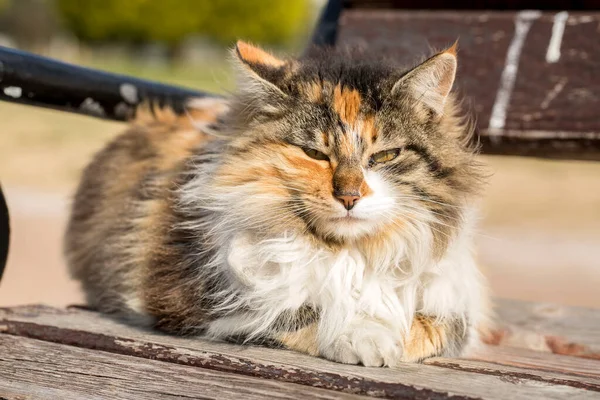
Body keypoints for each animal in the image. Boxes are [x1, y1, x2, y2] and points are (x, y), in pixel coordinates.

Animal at [65, 39, 490, 366]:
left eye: (385, 156)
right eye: (315, 154)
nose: (349, 196)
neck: (348, 252)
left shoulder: (452, 303)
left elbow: (428, 325)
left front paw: (388, 336)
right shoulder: (191, 293)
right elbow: (292, 311)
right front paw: (363, 336)